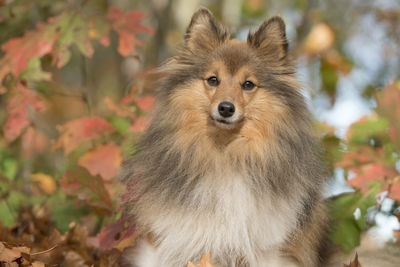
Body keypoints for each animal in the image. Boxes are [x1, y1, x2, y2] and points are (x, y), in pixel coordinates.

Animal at [122, 6, 328, 267]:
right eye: (213, 80)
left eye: (248, 84)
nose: (226, 109)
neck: (226, 154)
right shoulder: (167, 240)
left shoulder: (269, 250)